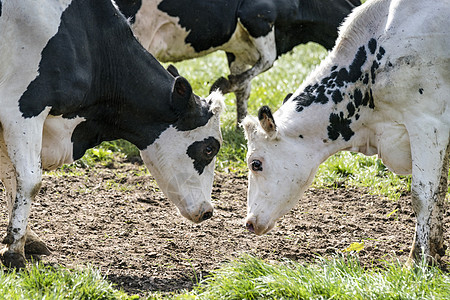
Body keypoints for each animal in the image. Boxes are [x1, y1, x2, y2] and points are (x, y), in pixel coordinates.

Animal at [0, 0, 225, 268]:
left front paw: (27, 239)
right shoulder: (22, 109)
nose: (208, 210)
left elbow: (10, 177)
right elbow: (29, 180)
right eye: (209, 148)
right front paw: (15, 251)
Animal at [114, 0, 360, 124]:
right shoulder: (258, 15)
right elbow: (266, 62)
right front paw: (221, 85)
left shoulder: (239, 48)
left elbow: (245, 86)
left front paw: (242, 122)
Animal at [243, 0, 450, 264]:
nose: (249, 223)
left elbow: (422, 196)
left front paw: (418, 261)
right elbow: (439, 191)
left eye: (255, 163)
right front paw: (434, 250)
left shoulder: (427, 123)